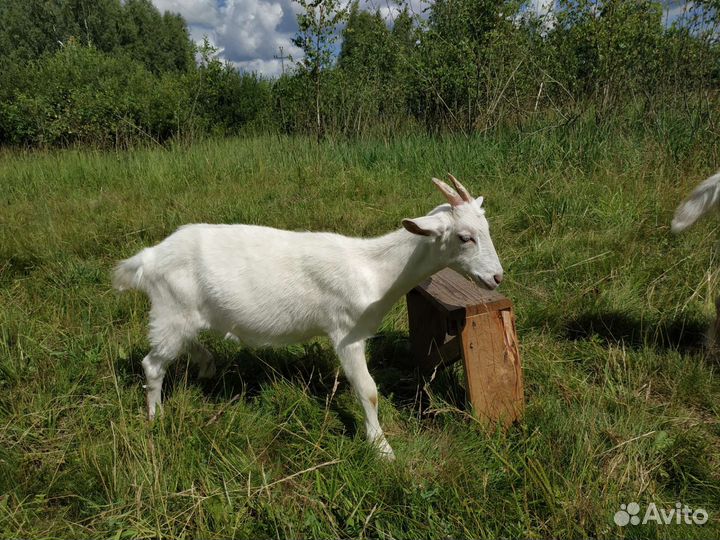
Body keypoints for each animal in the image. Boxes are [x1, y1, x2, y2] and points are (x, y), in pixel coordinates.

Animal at [113, 175, 504, 459]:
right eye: (464, 237)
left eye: (486, 230)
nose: (497, 277)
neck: (375, 270)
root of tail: (147, 259)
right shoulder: (346, 333)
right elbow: (369, 391)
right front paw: (382, 450)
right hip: (170, 311)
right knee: (152, 364)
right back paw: (155, 417)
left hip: (184, 315)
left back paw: (206, 368)